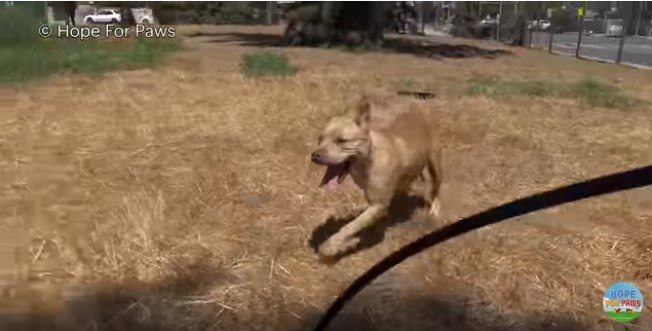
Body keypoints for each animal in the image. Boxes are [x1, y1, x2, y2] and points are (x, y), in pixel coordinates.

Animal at [310, 94, 444, 258]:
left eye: (341, 141)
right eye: (320, 139)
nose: (315, 155)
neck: (367, 160)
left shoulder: (378, 205)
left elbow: (351, 226)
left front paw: (331, 245)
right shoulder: (374, 198)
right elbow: (359, 222)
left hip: (435, 165)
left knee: (435, 190)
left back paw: (434, 213)